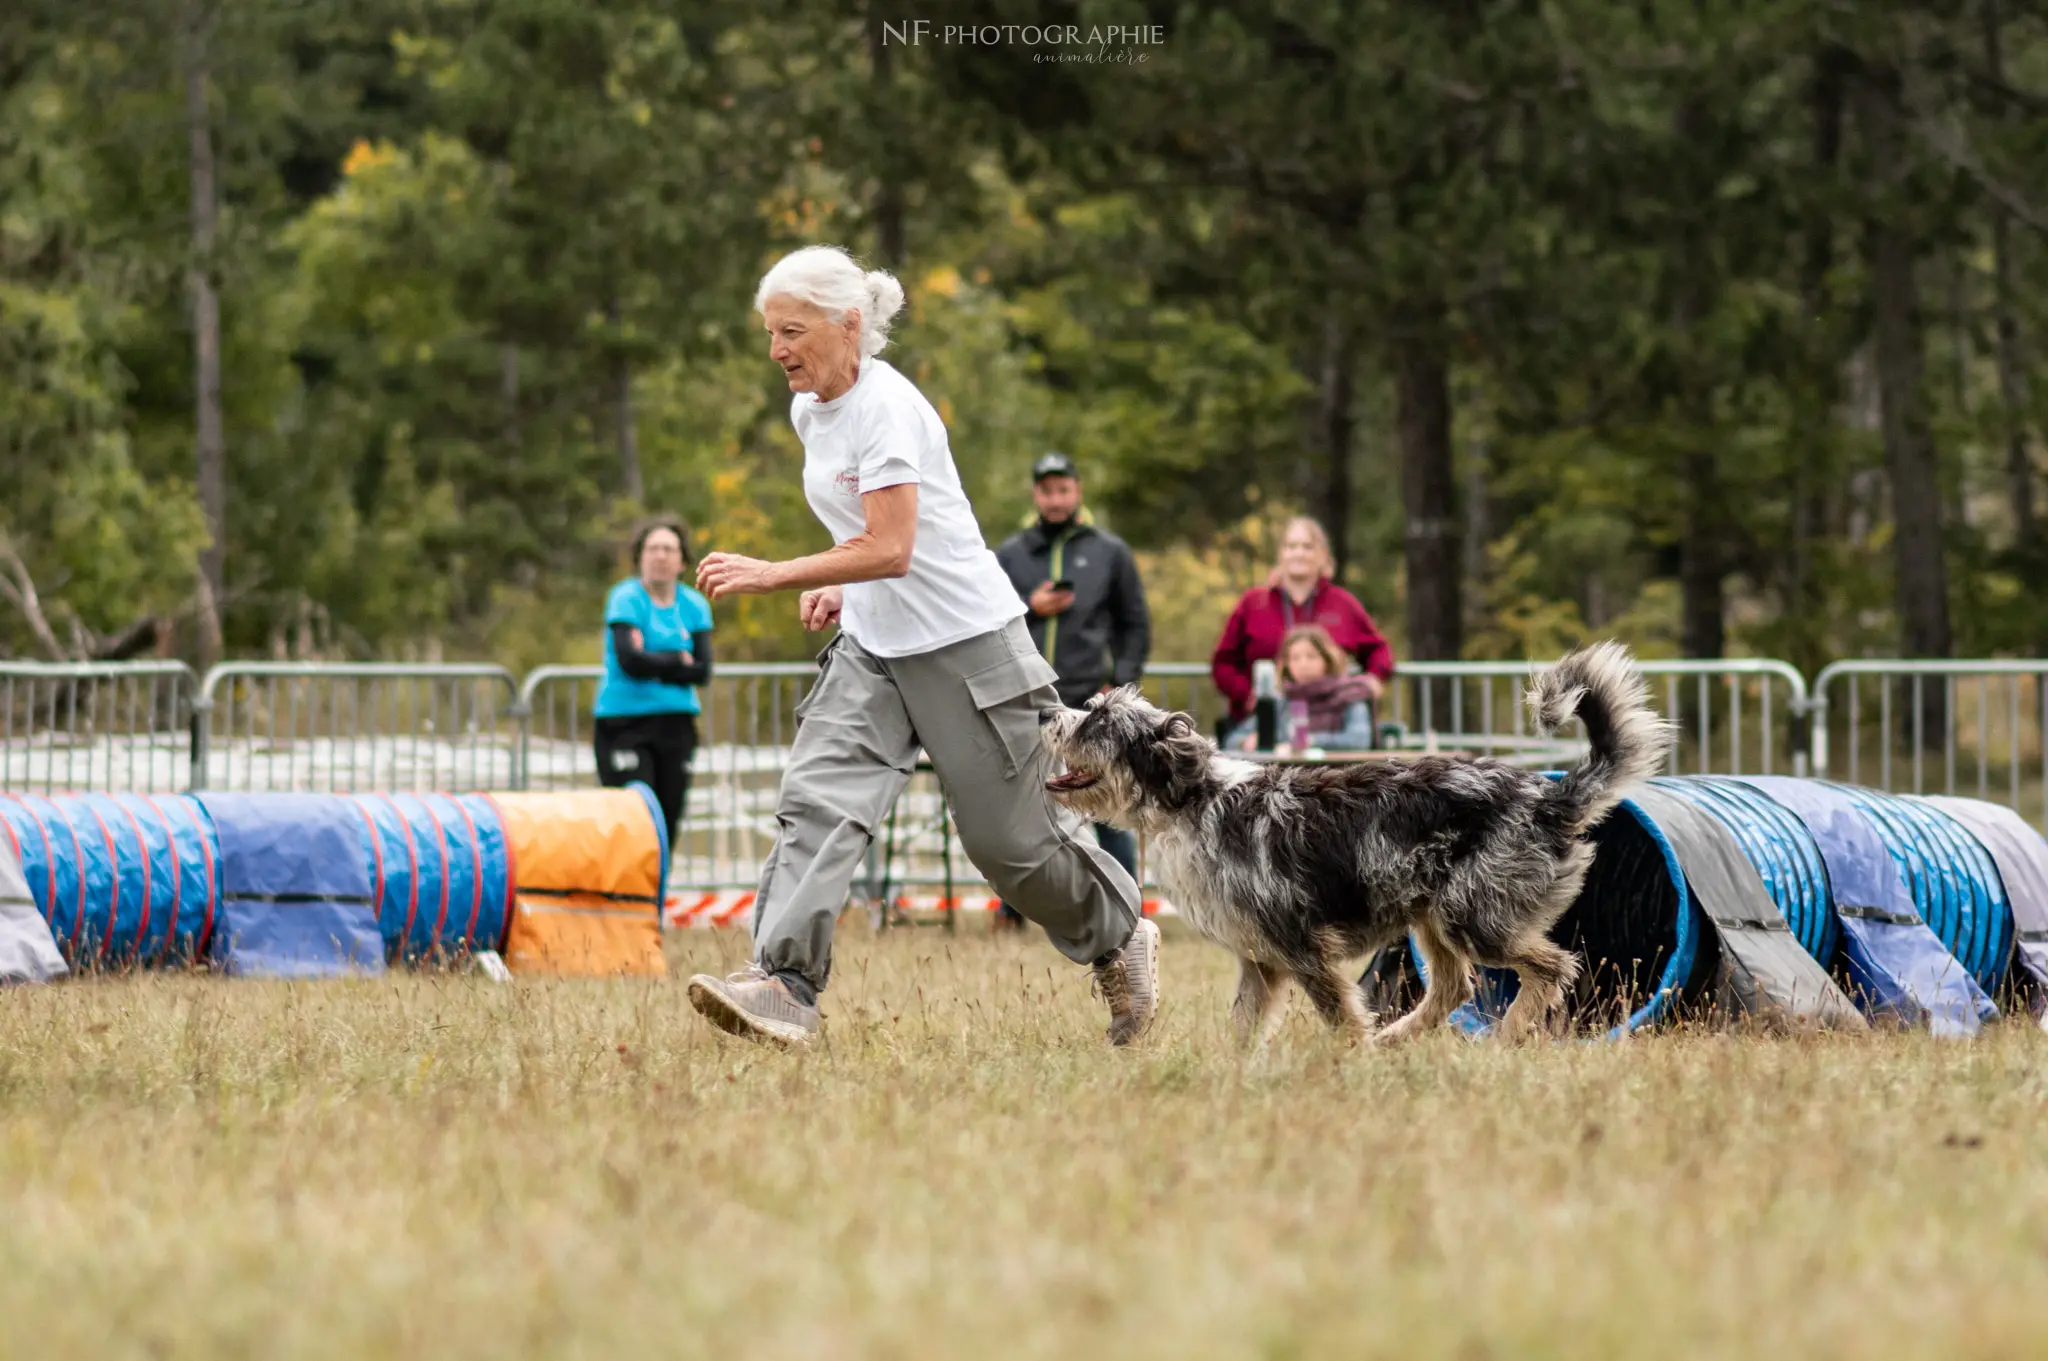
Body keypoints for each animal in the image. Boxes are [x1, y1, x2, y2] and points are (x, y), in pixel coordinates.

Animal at [1032, 642, 1671, 1043]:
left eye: (1097, 720)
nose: (1044, 713)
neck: (1194, 800)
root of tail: (1548, 797)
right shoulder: (1260, 960)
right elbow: (1241, 1029)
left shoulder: (1302, 949)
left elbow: (1340, 1020)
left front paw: (1351, 1066)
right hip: (1433, 918)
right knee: (1451, 988)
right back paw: (1396, 1040)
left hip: (1473, 915)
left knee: (1552, 967)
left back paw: (1506, 1035)